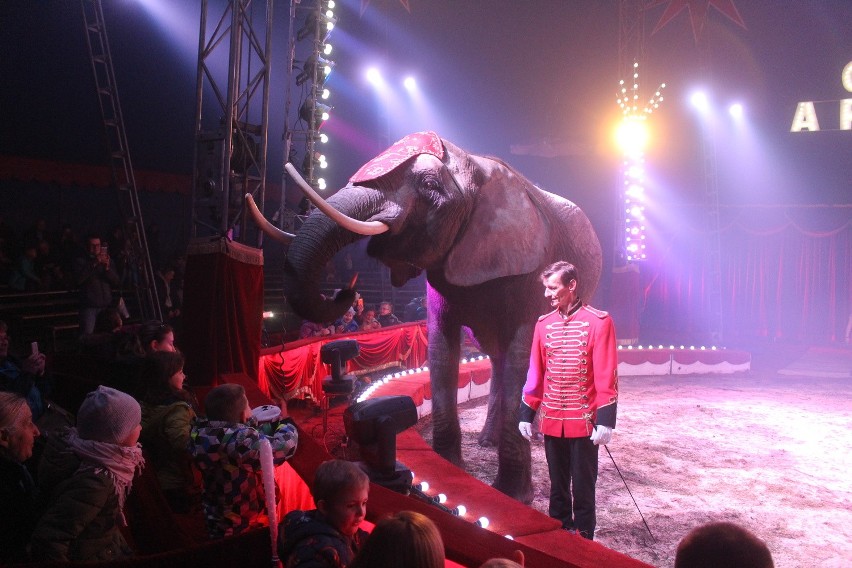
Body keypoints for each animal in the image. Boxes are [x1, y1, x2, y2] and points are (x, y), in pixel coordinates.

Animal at [250, 130, 604, 502]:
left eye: (430, 184)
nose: (344, 291)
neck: (475, 165)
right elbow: (441, 348)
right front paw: (450, 469)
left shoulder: (530, 269)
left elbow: (523, 354)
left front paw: (511, 496)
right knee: (497, 357)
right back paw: (487, 441)